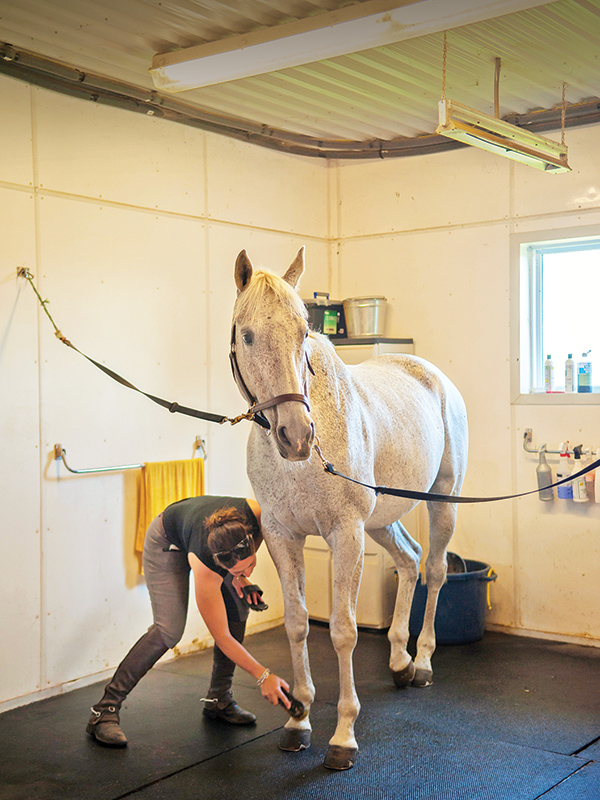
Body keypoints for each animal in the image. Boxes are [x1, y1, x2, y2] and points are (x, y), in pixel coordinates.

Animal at [231, 247, 468, 770]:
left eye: (304, 331)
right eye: (247, 333)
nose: (297, 436)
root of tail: (433, 374)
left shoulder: (345, 533)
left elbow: (343, 631)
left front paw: (343, 736)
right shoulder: (282, 534)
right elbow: (298, 624)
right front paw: (298, 720)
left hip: (440, 503)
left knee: (435, 569)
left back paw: (422, 662)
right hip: (381, 522)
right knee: (408, 559)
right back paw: (399, 662)